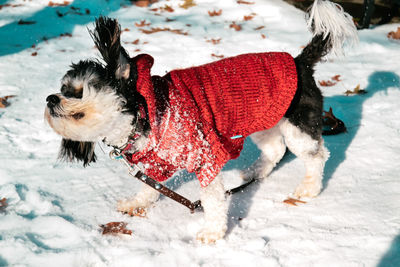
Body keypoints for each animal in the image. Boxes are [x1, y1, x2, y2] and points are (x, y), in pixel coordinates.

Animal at [45, 0, 358, 244]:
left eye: (77, 91)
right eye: (62, 88)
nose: (50, 98)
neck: (144, 114)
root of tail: (300, 62)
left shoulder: (205, 156)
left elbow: (212, 201)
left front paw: (212, 233)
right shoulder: (159, 161)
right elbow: (150, 186)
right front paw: (137, 203)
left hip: (297, 125)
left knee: (316, 156)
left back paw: (308, 189)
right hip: (264, 121)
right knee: (275, 150)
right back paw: (254, 172)